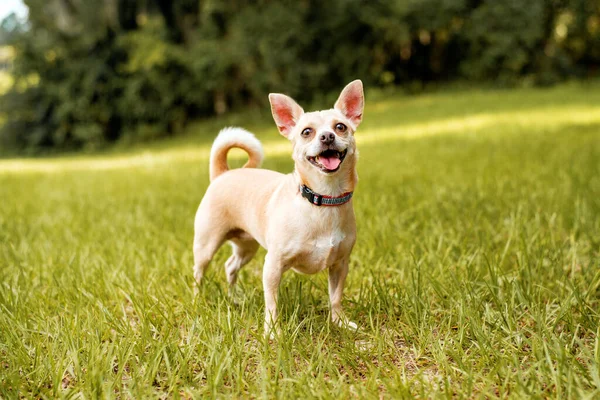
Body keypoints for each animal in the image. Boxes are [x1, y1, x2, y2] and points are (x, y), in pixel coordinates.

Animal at [192, 79, 364, 336]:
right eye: (306, 132)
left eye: (341, 127)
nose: (327, 136)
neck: (323, 198)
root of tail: (223, 173)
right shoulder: (273, 265)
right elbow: (271, 302)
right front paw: (272, 331)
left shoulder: (340, 264)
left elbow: (335, 297)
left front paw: (339, 322)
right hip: (206, 246)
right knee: (198, 274)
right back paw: (197, 301)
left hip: (246, 248)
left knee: (230, 266)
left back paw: (234, 297)